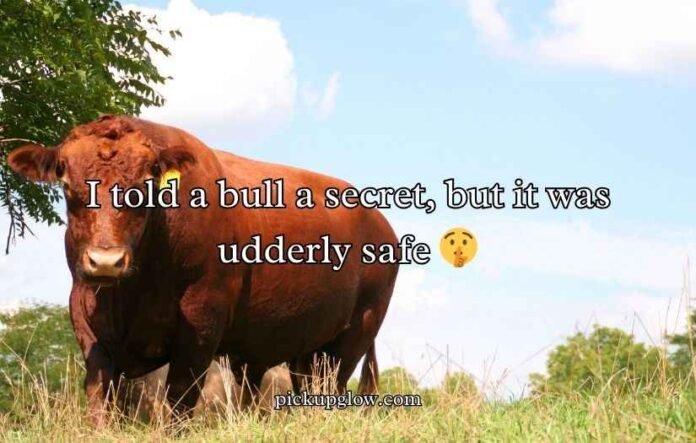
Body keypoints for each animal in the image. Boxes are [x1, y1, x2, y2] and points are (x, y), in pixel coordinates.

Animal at [8, 115, 398, 425]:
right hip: (308, 348)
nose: (106, 261)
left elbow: (179, 401)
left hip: (356, 332)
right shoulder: (88, 324)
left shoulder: (201, 325)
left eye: (143, 187)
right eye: (68, 185)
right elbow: (100, 401)